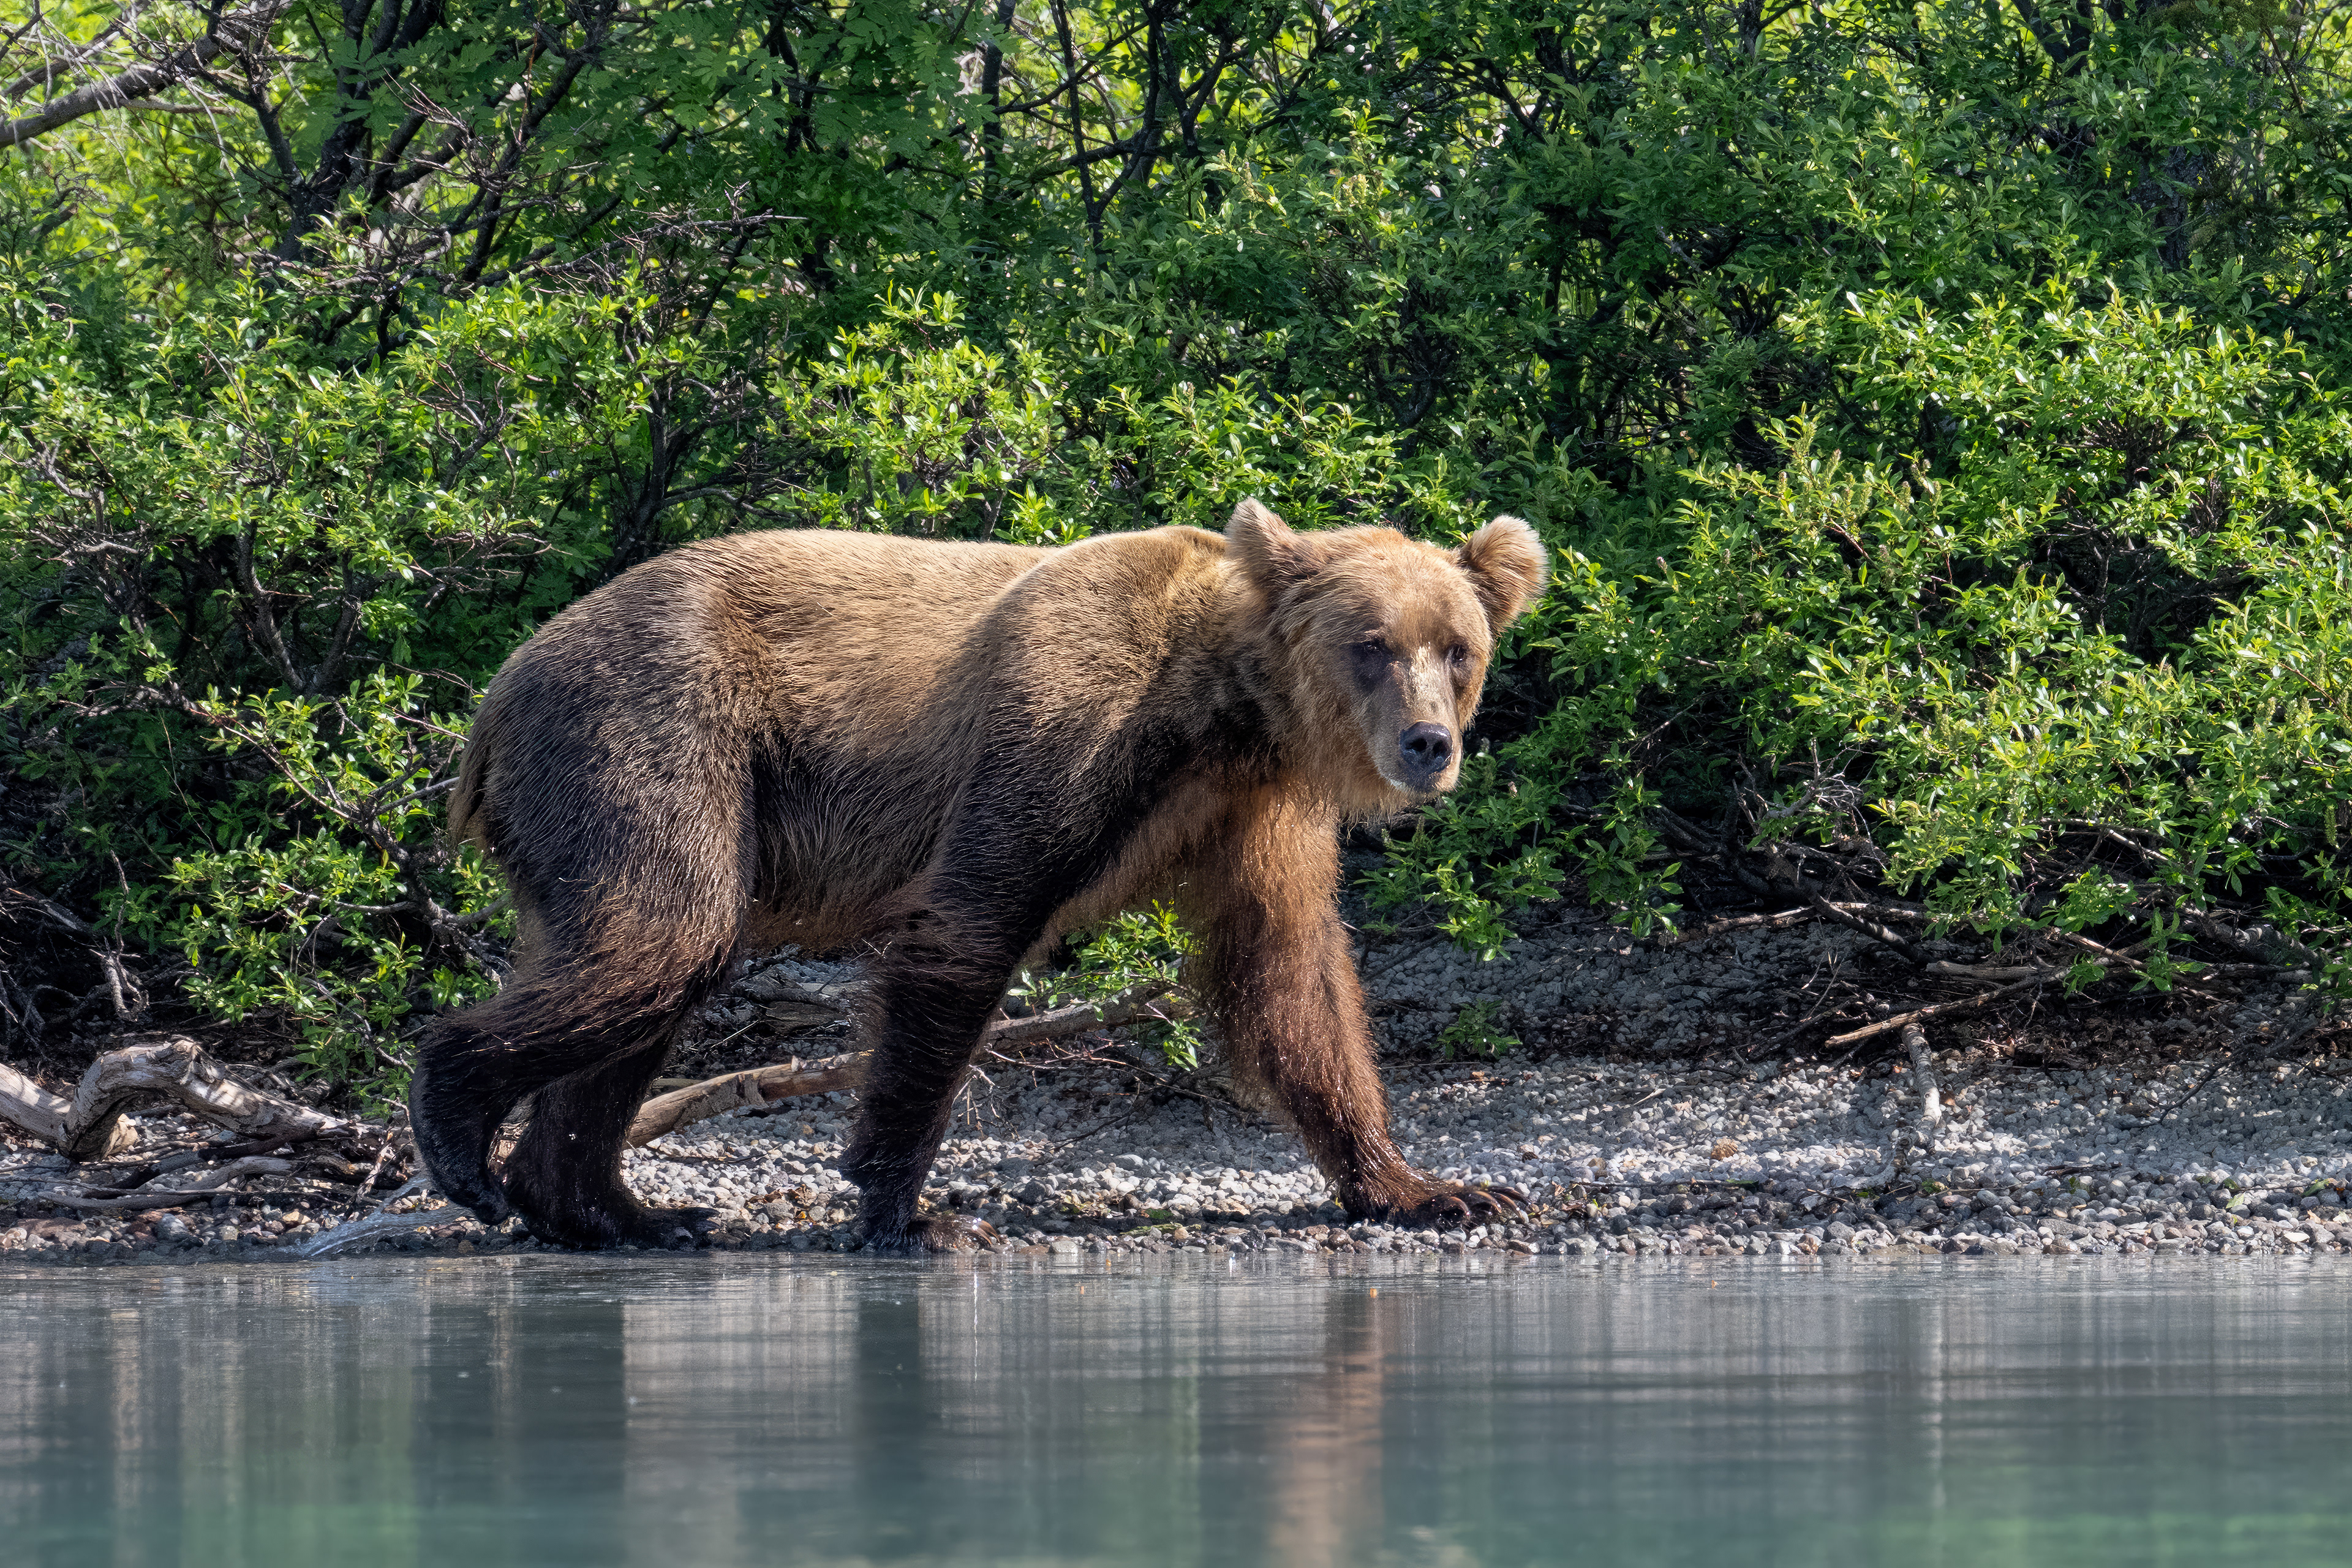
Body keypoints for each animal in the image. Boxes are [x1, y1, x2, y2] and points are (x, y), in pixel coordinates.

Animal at [408, 499, 1548, 1250]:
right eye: (1371, 643)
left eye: (1456, 647)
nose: (1428, 745)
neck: (1224, 712)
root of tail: (495, 694)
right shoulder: (1069, 720)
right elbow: (969, 926)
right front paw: (907, 1208)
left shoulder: (1250, 814)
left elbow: (1291, 976)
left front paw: (1429, 1188)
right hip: (655, 731)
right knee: (660, 938)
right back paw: (464, 1137)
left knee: (653, 978)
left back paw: (618, 1207)